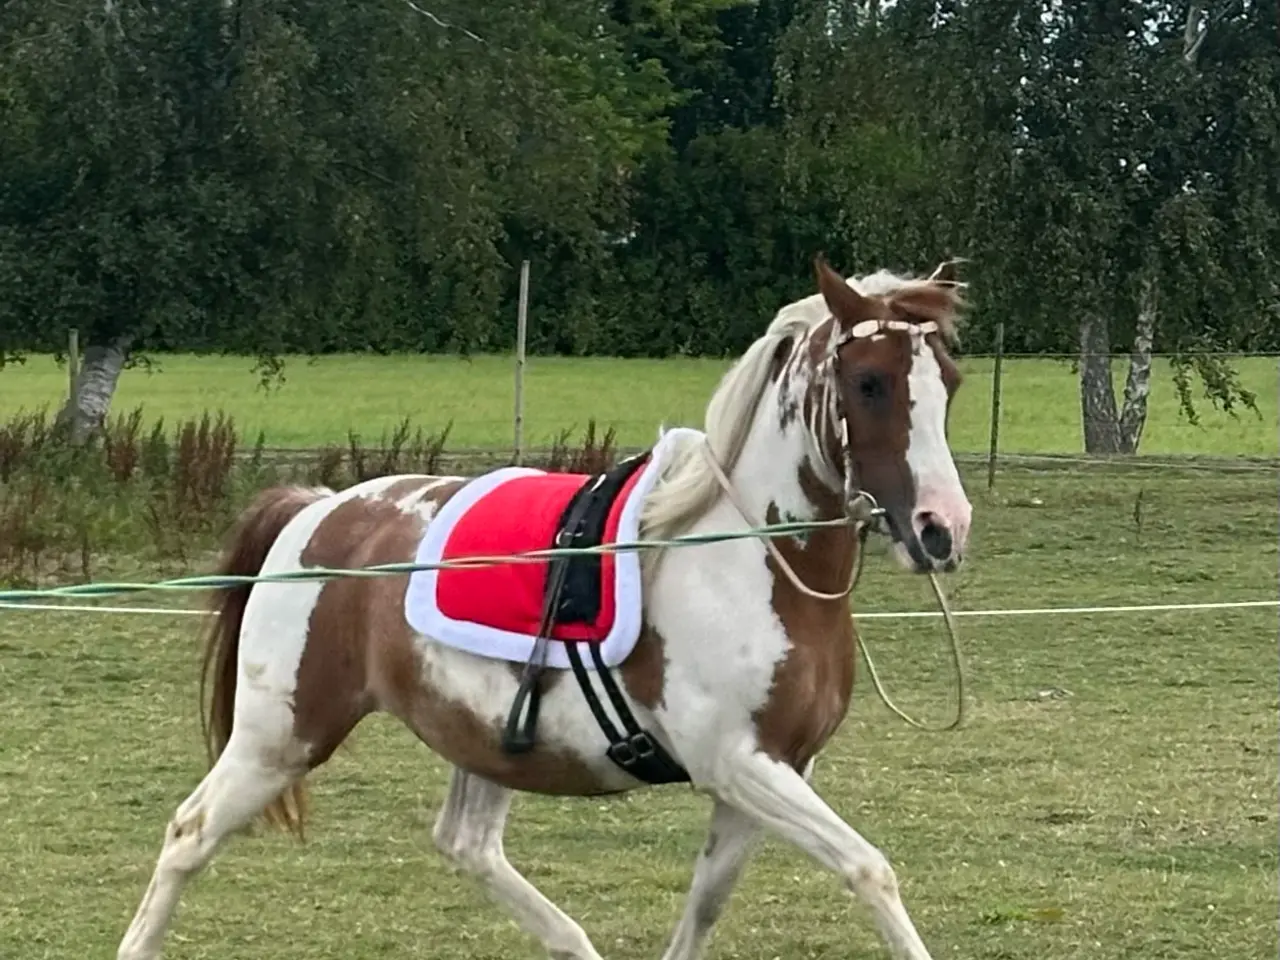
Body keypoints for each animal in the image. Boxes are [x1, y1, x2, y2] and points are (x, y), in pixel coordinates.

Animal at [116, 256, 972, 960]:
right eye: (870, 383)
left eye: (950, 382)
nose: (942, 529)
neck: (749, 559)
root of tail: (318, 510)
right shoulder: (736, 762)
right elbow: (870, 869)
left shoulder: (768, 775)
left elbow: (702, 910)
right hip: (280, 737)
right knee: (189, 834)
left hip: (479, 741)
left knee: (466, 844)